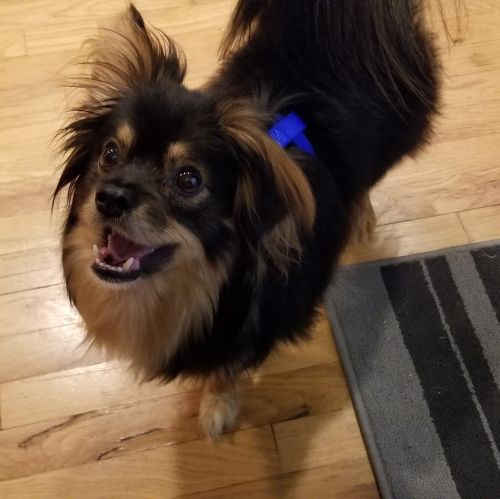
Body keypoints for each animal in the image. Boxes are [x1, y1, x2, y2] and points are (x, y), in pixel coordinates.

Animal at [54, 0, 442, 439]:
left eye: (188, 179)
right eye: (110, 154)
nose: (111, 198)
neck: (208, 285)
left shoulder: (252, 324)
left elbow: (226, 364)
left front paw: (217, 405)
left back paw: (360, 215)